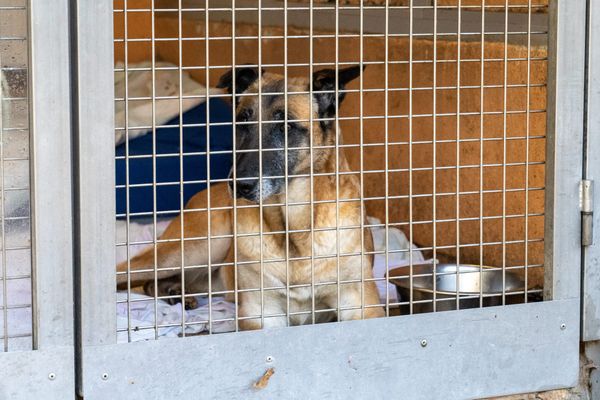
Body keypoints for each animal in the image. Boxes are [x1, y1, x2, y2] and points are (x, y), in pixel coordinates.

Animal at [117, 65, 384, 328]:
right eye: (242, 121)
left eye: (286, 126)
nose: (238, 185)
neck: (292, 231)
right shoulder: (261, 314)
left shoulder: (363, 307)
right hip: (194, 248)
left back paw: (175, 292)